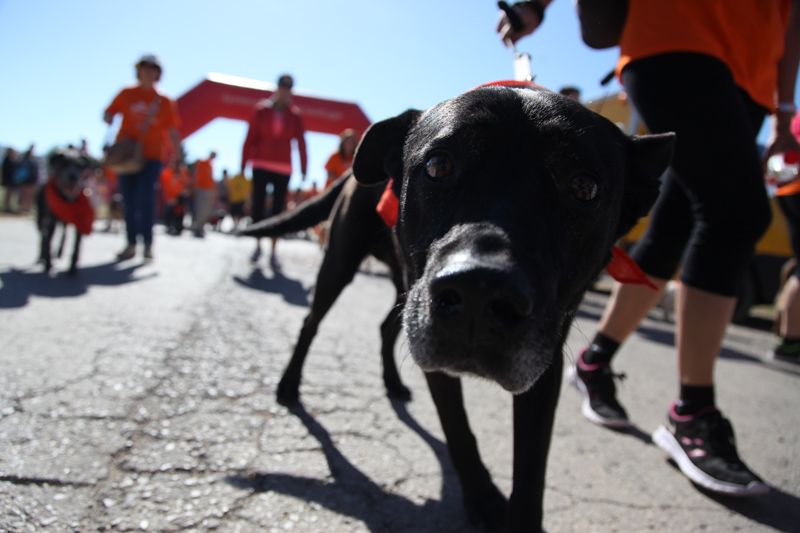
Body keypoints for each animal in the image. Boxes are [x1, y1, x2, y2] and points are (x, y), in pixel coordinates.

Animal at [354, 83, 672, 528]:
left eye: (584, 188)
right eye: (437, 165)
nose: (478, 292)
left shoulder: (545, 367)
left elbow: (531, 464)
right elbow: (458, 429)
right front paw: (483, 498)